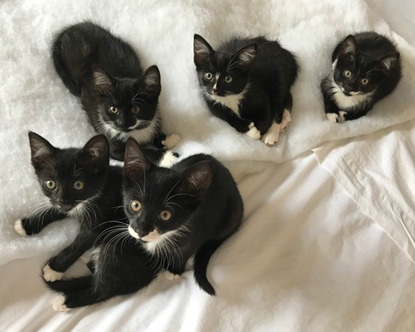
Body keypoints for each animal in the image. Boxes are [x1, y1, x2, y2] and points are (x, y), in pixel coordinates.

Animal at [13, 134, 127, 284]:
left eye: (78, 185)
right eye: (50, 184)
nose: (62, 201)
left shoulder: (98, 222)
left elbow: (77, 246)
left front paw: (54, 269)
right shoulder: (65, 205)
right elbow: (53, 209)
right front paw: (26, 224)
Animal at [51, 20, 180, 161]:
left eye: (136, 109)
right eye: (113, 109)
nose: (122, 123)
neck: (134, 132)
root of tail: (68, 30)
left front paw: (167, 138)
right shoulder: (111, 144)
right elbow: (137, 152)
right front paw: (168, 157)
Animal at [122, 138, 244, 296]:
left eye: (165, 215)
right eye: (136, 205)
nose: (141, 231)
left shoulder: (196, 233)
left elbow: (185, 251)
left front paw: (175, 270)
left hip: (232, 213)